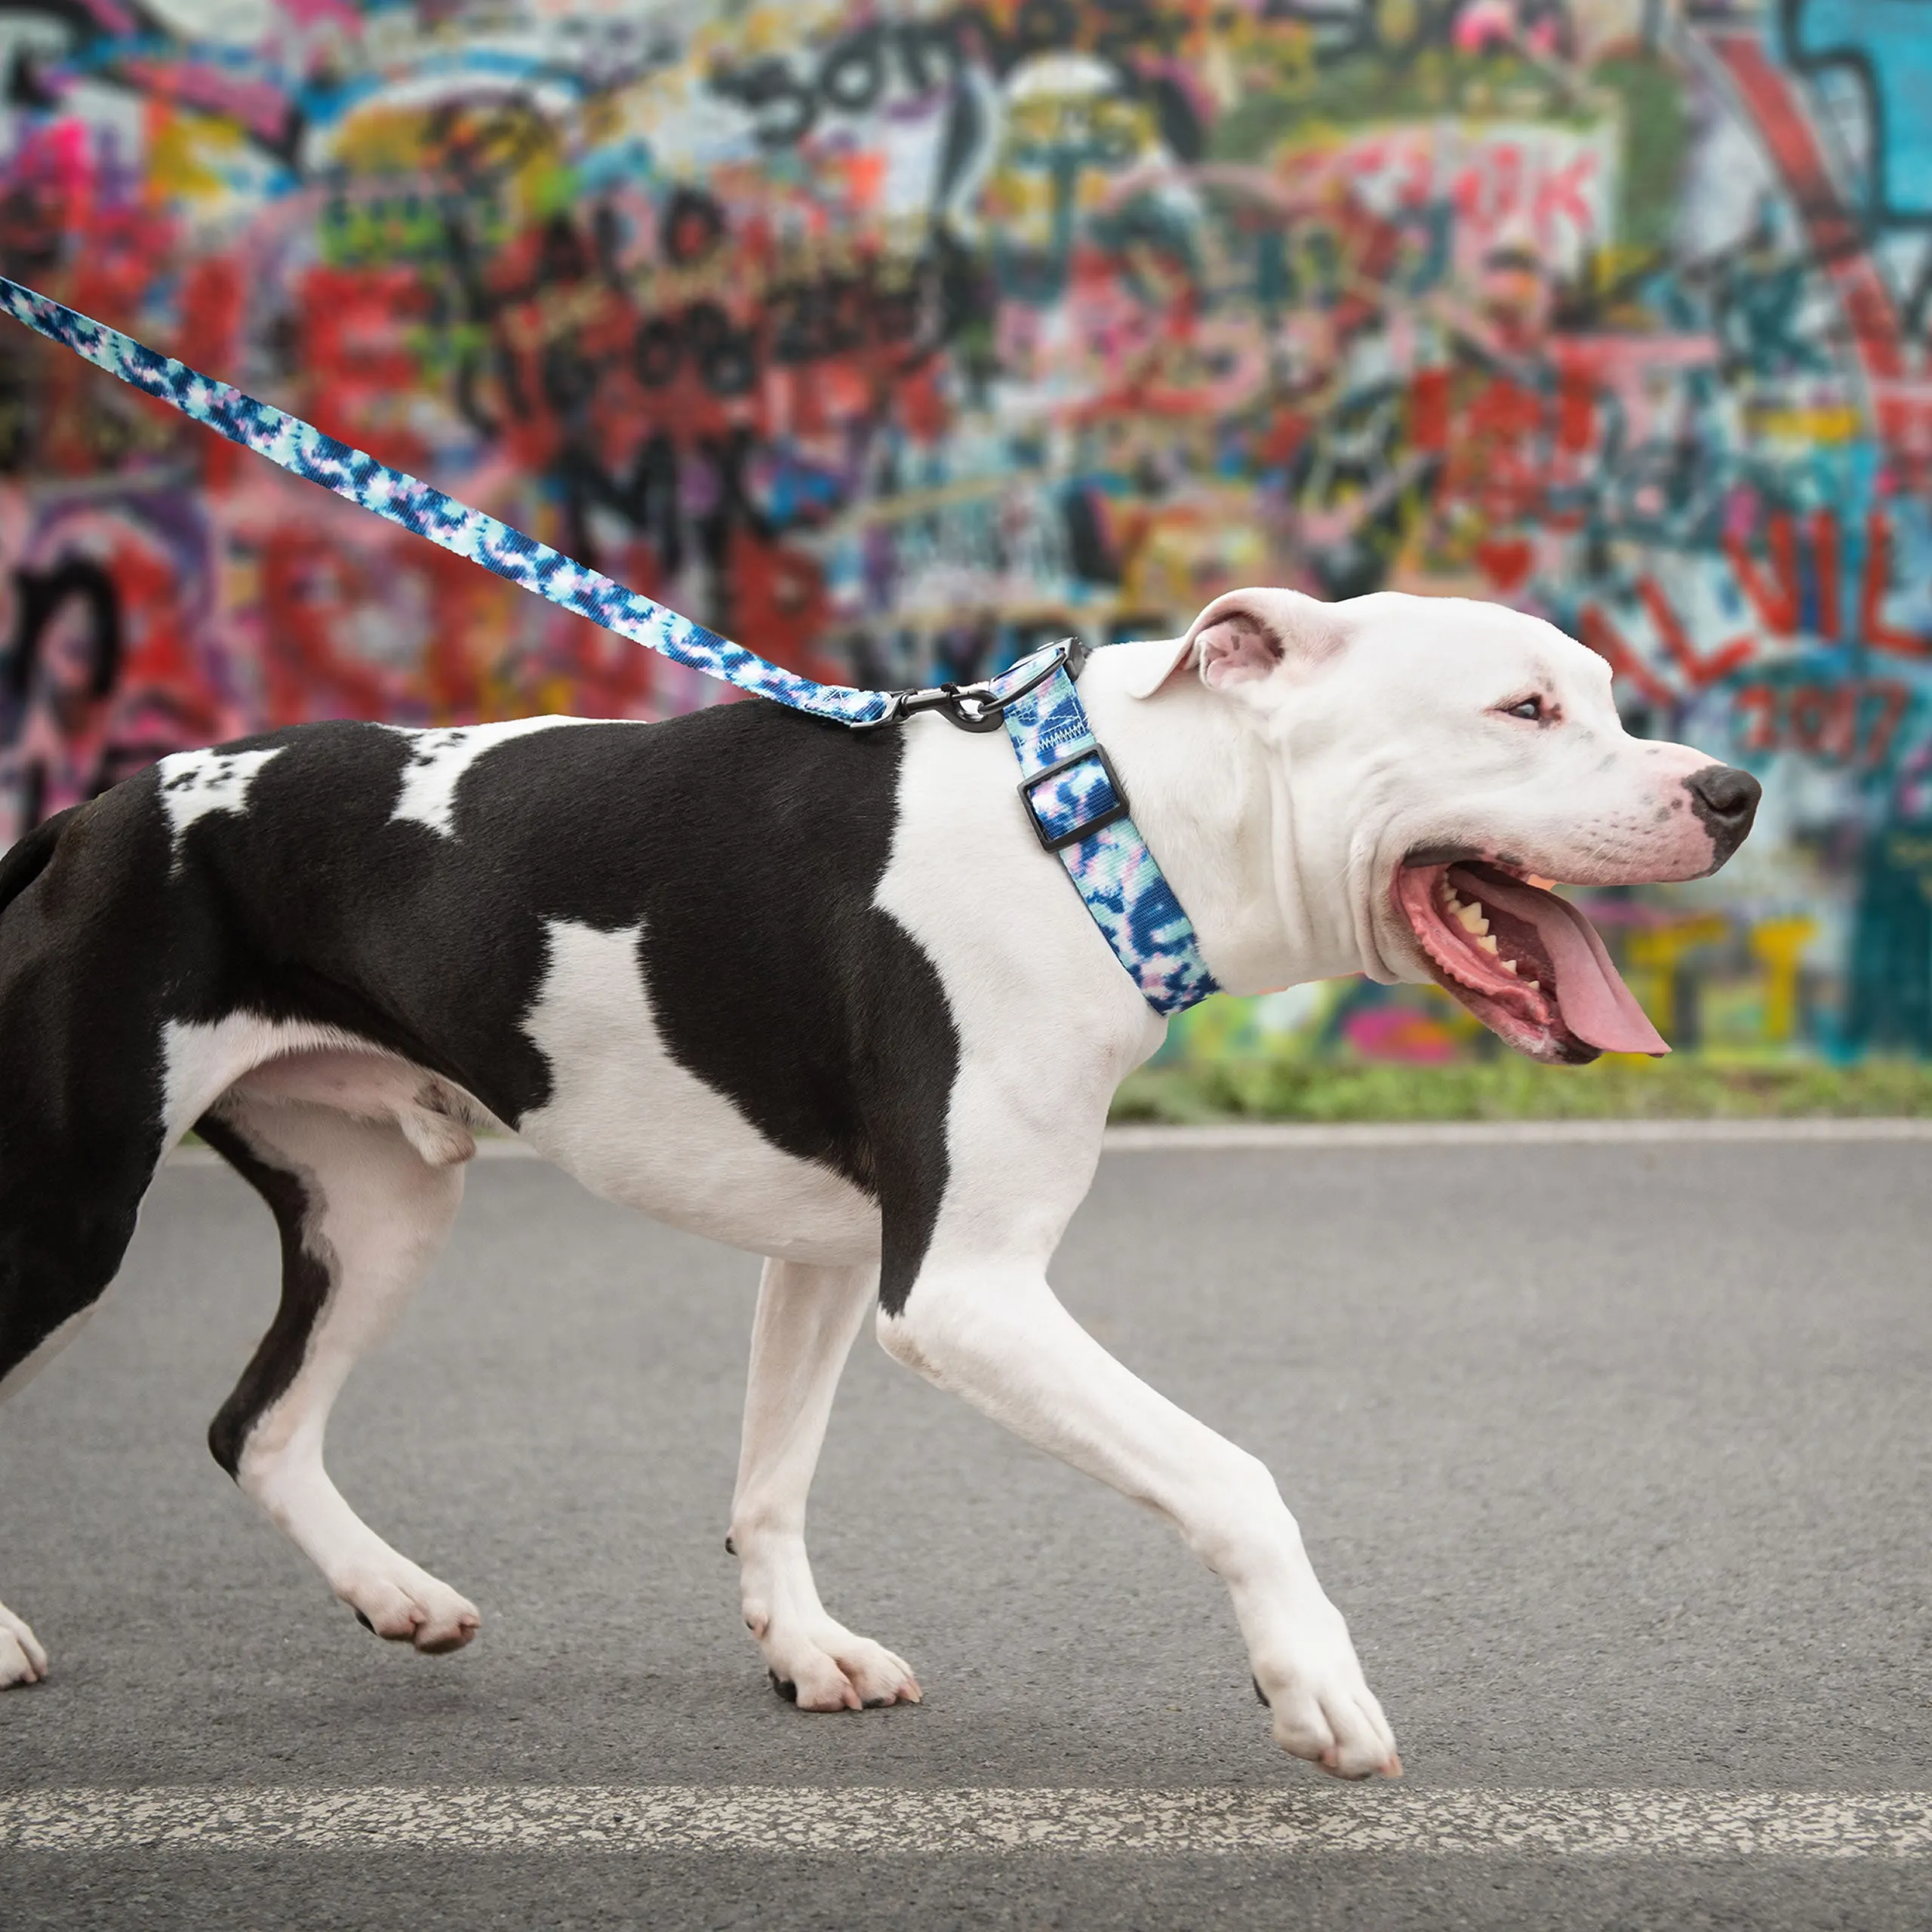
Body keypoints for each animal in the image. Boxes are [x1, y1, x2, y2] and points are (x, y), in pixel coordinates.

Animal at [0, 591, 1754, 1777]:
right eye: (1522, 708)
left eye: (1605, 700)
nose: (1730, 790)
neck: (1094, 825)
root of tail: (95, 805)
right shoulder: (964, 1290)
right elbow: (1234, 1472)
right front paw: (1309, 1680)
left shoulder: (834, 1253)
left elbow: (771, 1480)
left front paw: (805, 1650)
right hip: (68, 1209)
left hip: (379, 1204)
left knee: (260, 1424)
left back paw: (397, 1593)